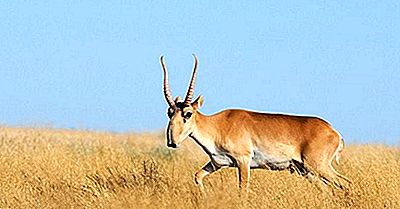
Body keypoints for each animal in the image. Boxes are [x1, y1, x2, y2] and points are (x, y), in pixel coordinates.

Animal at [159, 54, 350, 191]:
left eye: (188, 113)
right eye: (169, 112)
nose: (172, 142)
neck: (217, 125)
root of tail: (333, 132)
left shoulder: (243, 161)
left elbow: (242, 190)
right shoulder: (217, 163)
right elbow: (197, 176)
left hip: (317, 166)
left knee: (345, 183)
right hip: (305, 170)